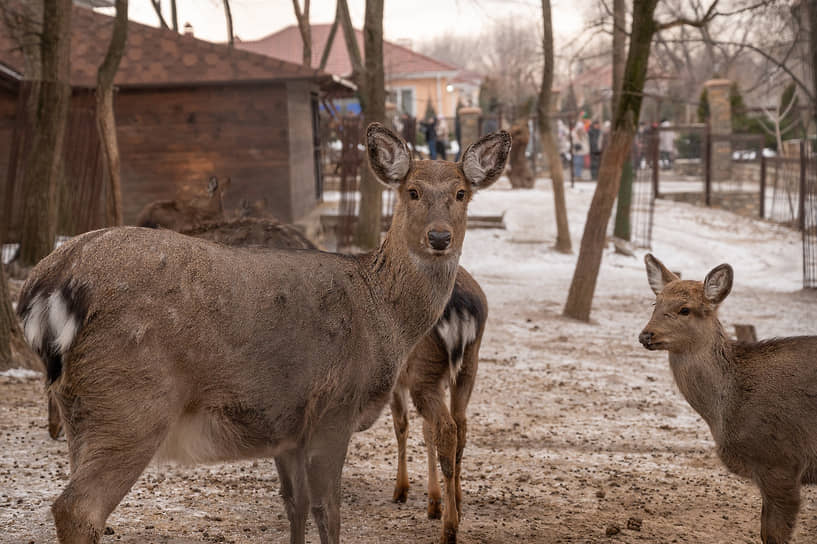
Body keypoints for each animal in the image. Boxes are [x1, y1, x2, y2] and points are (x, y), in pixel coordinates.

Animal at [388, 266, 484, 540]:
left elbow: (402, 425)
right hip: (468, 365)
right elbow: (425, 430)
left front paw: (401, 491)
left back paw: (449, 529)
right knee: (459, 424)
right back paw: (458, 508)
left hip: (423, 370)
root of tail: (461, 307)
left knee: (446, 427)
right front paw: (433, 502)